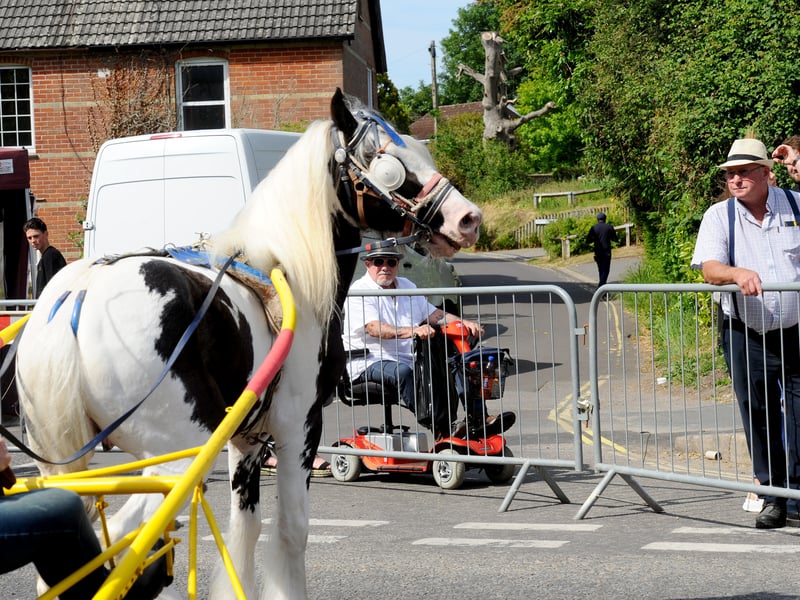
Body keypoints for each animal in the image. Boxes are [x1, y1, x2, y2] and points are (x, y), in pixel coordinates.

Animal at [14, 88, 481, 599]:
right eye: (388, 162)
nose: (468, 218)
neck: (288, 273)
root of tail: (79, 295)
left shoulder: (248, 437)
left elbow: (246, 528)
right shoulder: (299, 425)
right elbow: (291, 531)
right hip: (182, 452)